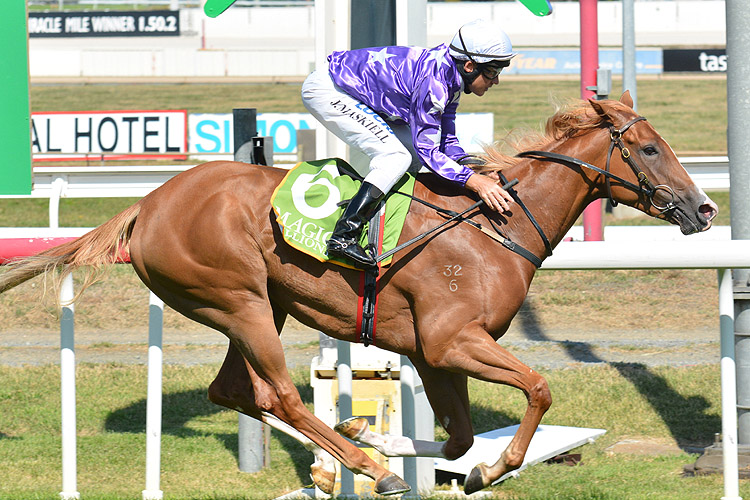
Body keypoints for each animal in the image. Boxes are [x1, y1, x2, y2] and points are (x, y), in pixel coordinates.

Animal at [0, 94, 716, 496]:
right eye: (650, 148)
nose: (704, 208)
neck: (496, 226)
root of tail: (145, 206)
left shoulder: (434, 353)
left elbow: (458, 440)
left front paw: (400, 443)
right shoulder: (453, 341)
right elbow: (538, 389)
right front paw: (495, 466)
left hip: (258, 306)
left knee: (235, 391)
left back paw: (350, 450)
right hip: (239, 301)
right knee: (281, 394)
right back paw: (368, 468)